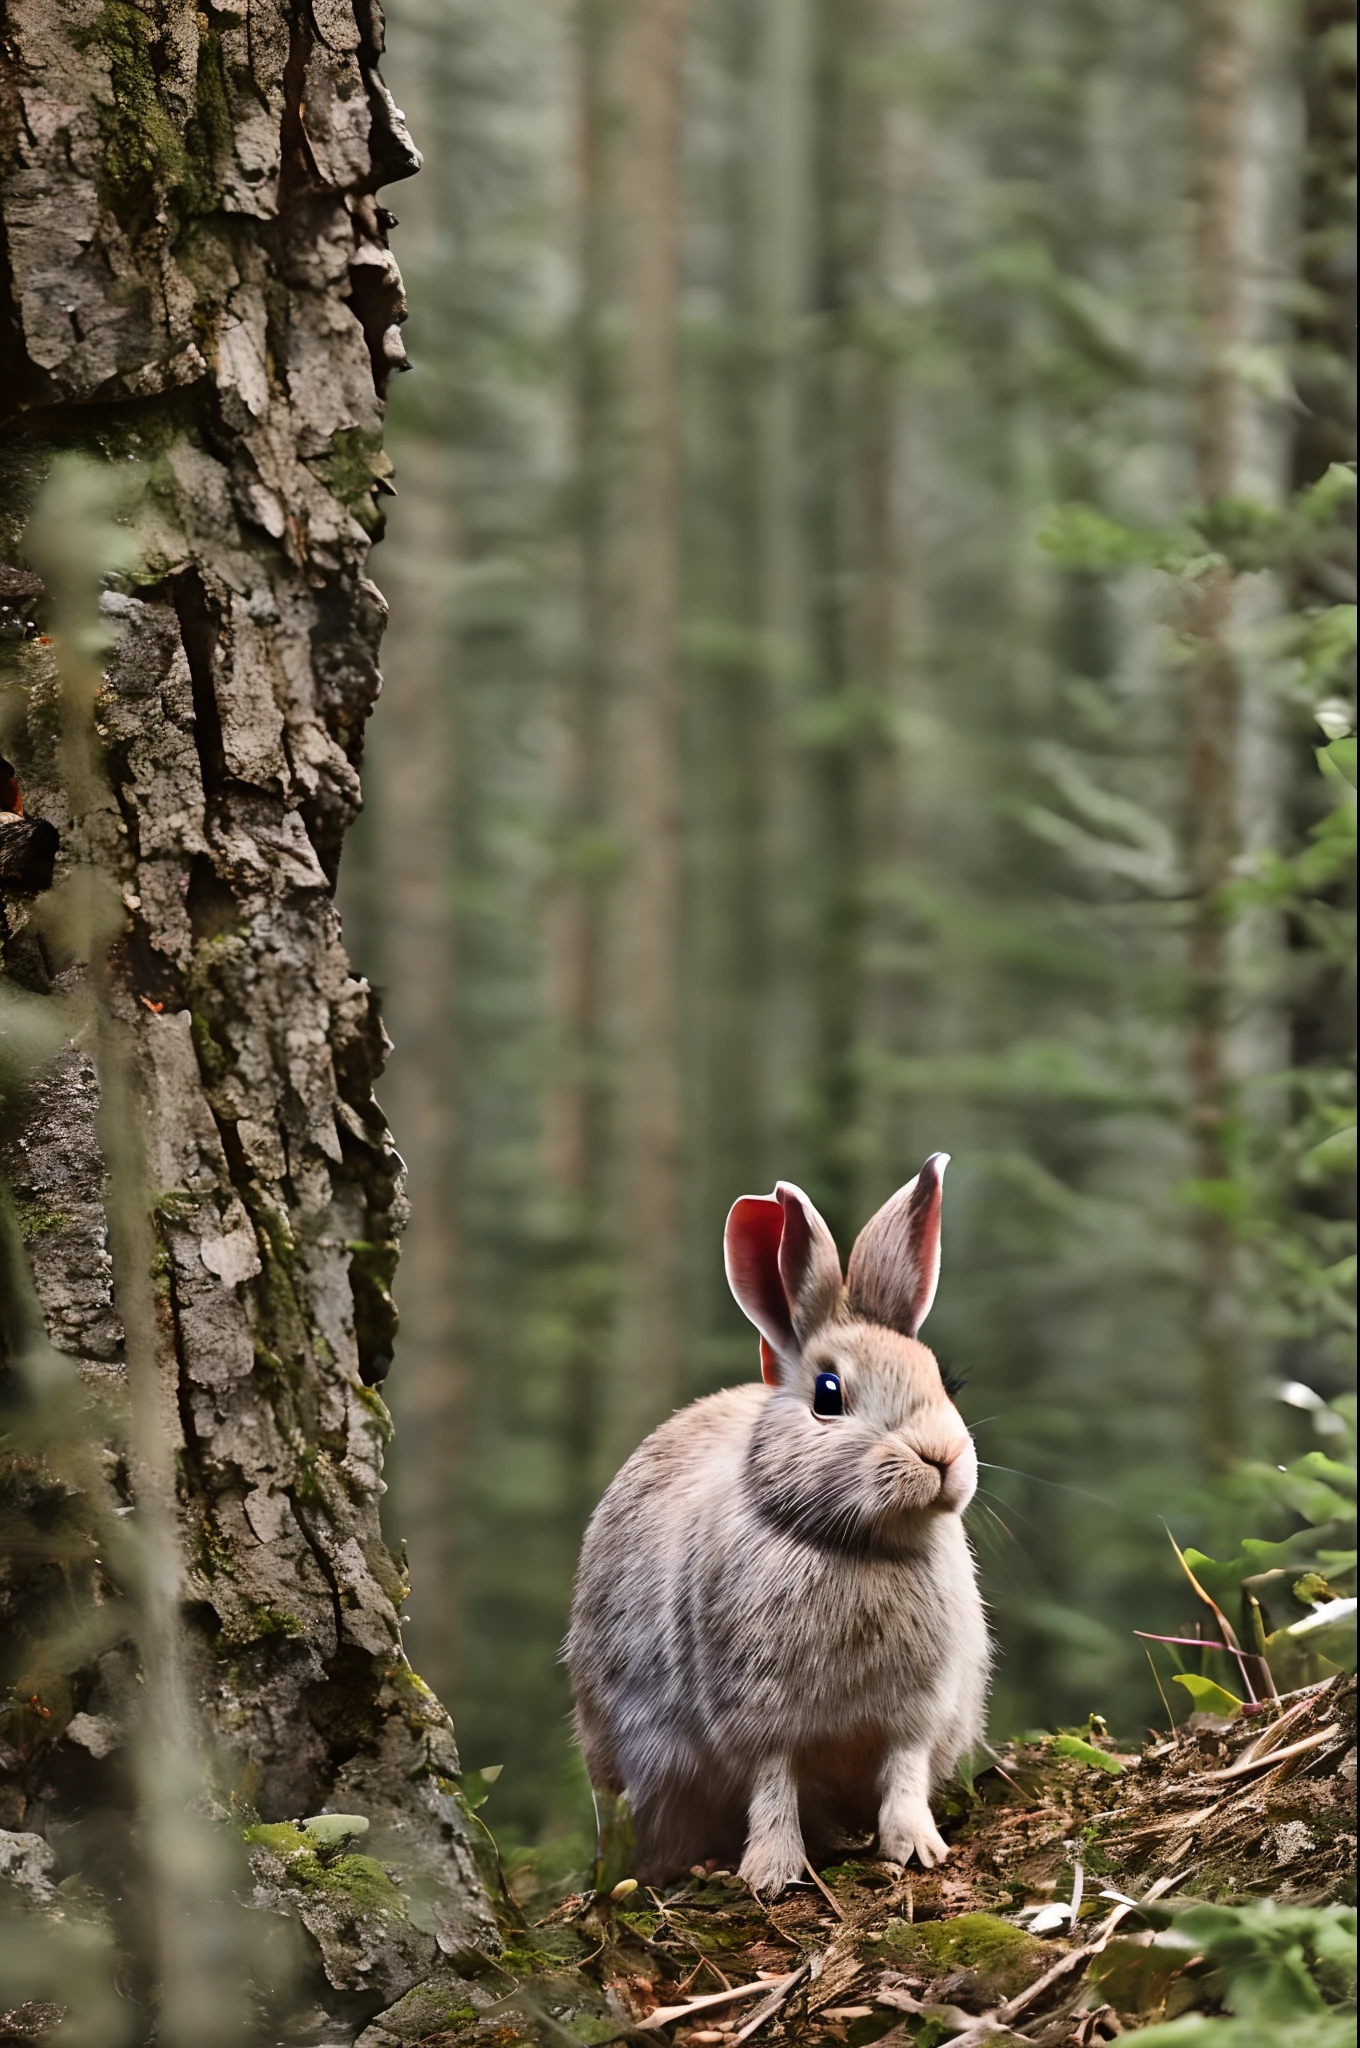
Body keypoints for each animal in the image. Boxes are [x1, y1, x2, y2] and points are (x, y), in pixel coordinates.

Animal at [561, 1163, 987, 1892]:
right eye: (827, 1393)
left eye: (947, 1383)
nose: (940, 1458)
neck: (855, 1546)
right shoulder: (758, 1717)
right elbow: (772, 1785)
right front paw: (771, 1874)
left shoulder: (915, 1715)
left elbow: (902, 1776)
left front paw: (917, 1850)